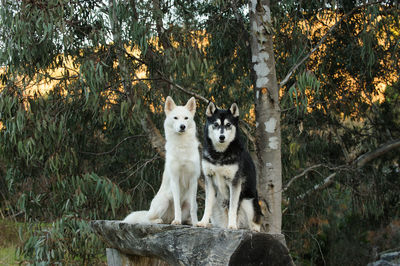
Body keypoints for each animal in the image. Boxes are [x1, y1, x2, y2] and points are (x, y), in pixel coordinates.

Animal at [122, 95, 200, 224]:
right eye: (175, 118)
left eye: (186, 118)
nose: (182, 126)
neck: (182, 147)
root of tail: (168, 218)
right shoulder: (175, 179)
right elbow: (177, 205)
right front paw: (177, 221)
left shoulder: (193, 180)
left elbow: (193, 208)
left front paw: (196, 223)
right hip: (164, 201)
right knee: (148, 219)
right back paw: (161, 220)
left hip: (188, 202)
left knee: (188, 214)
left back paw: (189, 221)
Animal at [197, 102, 262, 231]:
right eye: (216, 124)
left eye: (228, 125)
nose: (222, 137)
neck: (220, 154)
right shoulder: (209, 179)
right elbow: (207, 205)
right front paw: (203, 222)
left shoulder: (234, 182)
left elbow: (232, 207)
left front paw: (232, 225)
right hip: (217, 202)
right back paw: (213, 224)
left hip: (248, 202)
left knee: (253, 223)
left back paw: (250, 228)